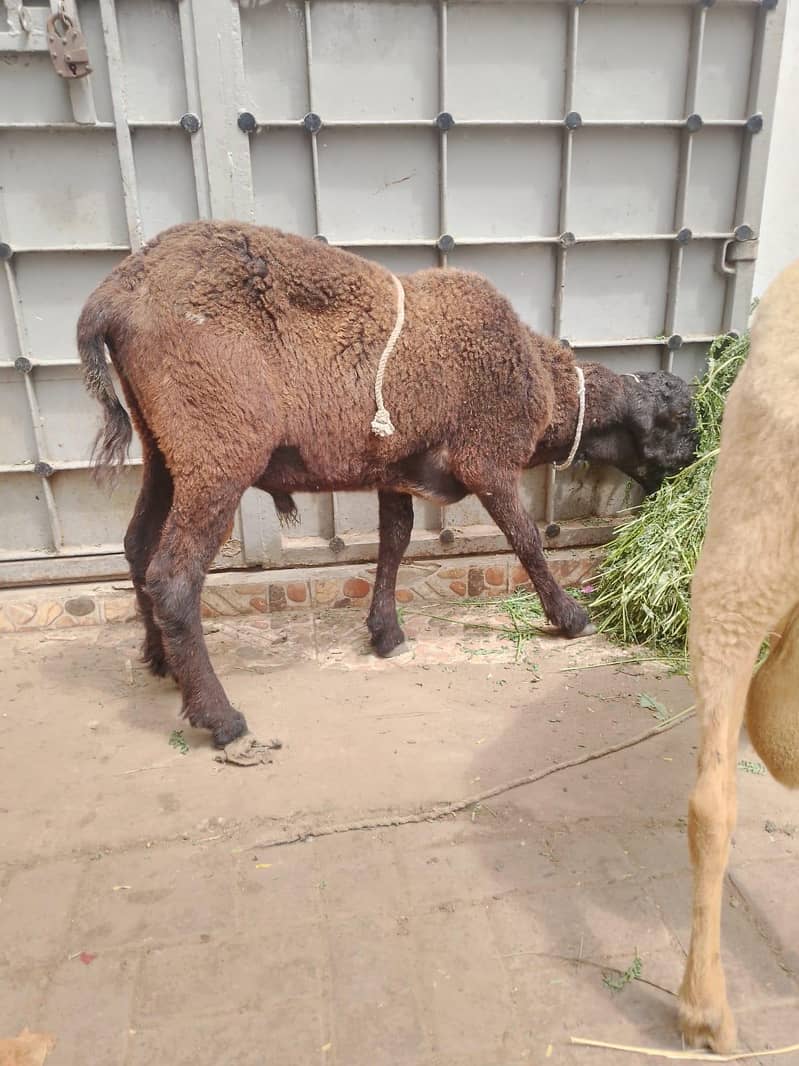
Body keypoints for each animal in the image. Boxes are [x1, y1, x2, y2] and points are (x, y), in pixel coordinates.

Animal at [78, 220, 697, 746]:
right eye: (681, 420)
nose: (691, 468)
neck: (542, 384)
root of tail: (113, 296)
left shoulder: (397, 467)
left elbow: (394, 543)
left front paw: (385, 633)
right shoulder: (487, 457)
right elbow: (526, 541)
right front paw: (570, 618)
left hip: (163, 445)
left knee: (138, 547)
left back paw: (161, 662)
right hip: (217, 443)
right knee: (174, 578)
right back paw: (219, 716)